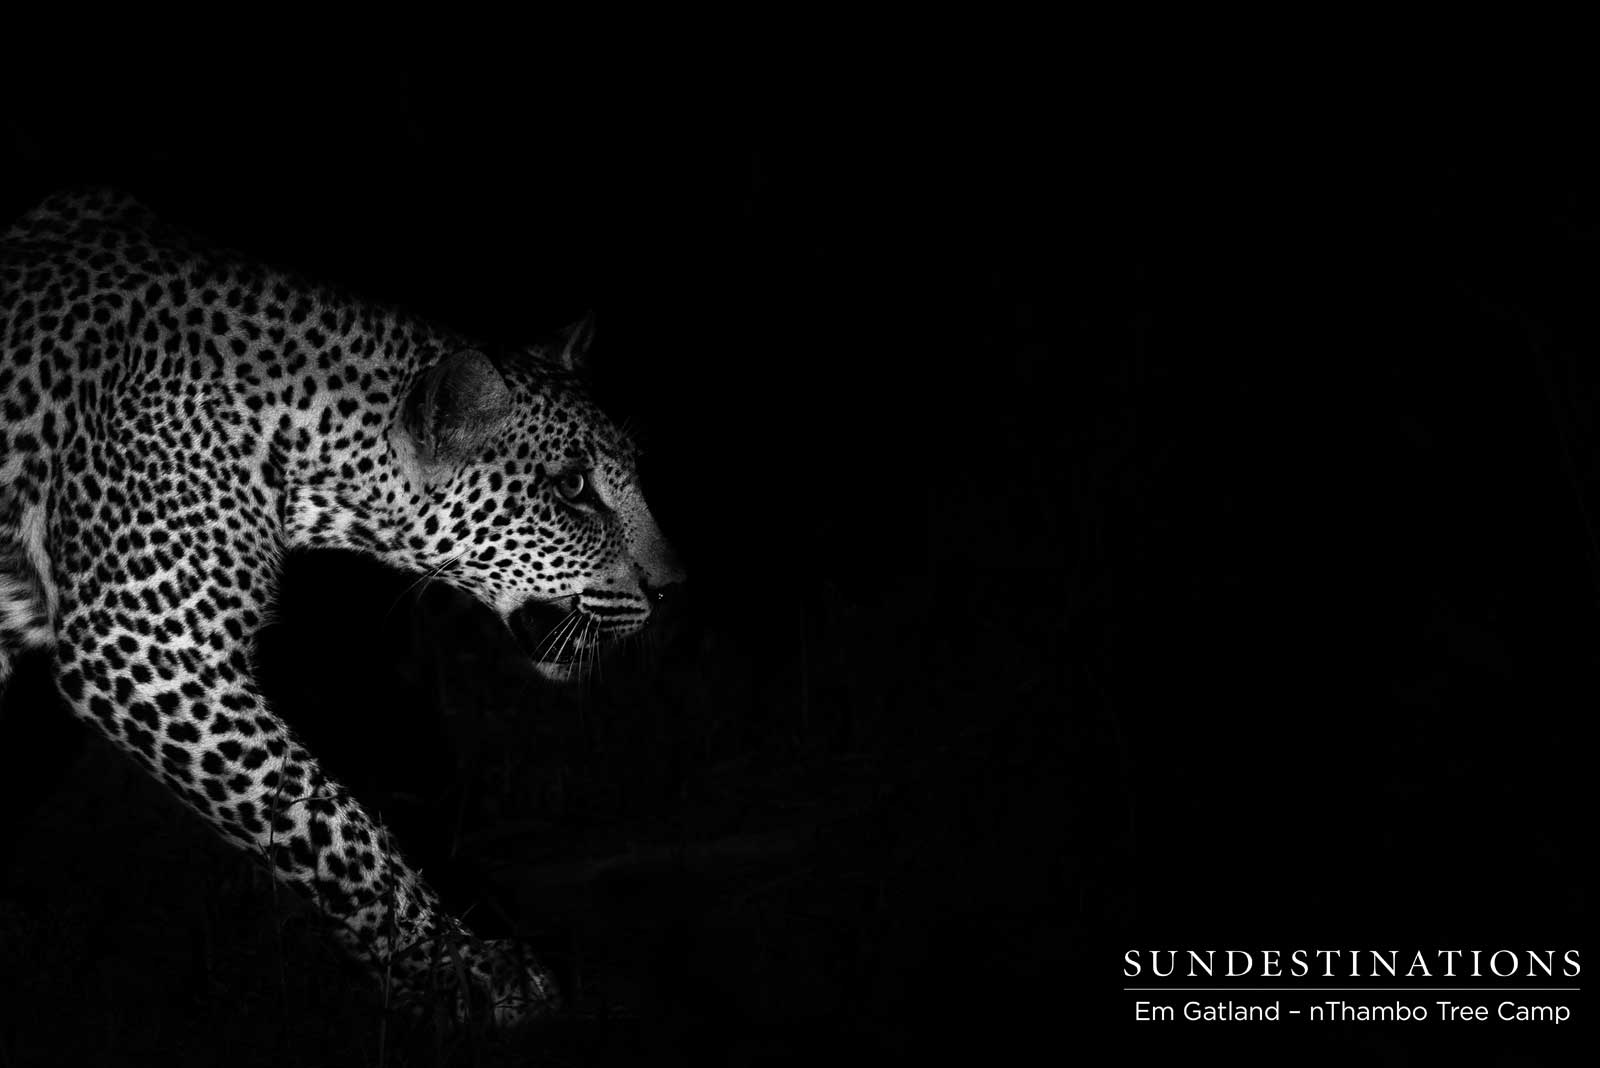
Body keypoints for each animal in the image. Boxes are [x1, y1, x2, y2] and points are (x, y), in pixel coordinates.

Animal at [0, 186, 684, 1024]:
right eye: (573, 489)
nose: (673, 585)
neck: (305, 443)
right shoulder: (145, 648)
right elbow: (327, 822)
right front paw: (462, 972)